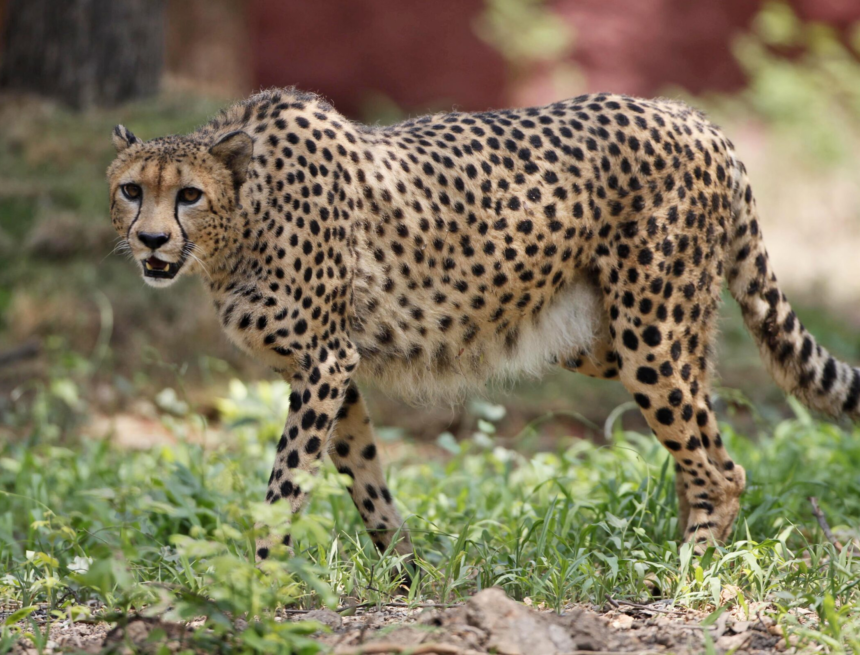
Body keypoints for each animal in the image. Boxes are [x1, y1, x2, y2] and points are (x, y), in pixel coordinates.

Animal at [107, 87, 860, 566]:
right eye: (131, 189)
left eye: (189, 194)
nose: (150, 240)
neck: (241, 222)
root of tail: (692, 117)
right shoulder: (330, 369)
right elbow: (366, 476)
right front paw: (406, 572)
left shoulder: (323, 362)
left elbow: (286, 481)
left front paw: (258, 576)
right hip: (608, 337)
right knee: (699, 440)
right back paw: (677, 548)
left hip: (651, 332)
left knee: (723, 467)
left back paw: (687, 571)